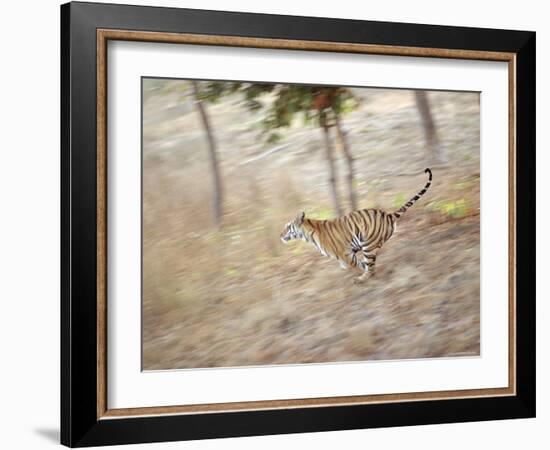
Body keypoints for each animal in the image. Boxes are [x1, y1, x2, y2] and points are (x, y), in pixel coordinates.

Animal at [282, 169, 434, 282]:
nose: (280, 235)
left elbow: (358, 265)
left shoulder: (345, 254)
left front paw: (359, 274)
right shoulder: (349, 253)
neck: (308, 235)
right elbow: (360, 264)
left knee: (370, 267)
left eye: (287, 226)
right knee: (370, 265)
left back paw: (362, 279)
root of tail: (388, 215)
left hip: (369, 246)